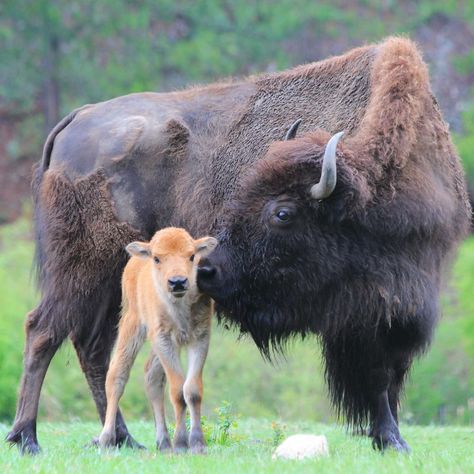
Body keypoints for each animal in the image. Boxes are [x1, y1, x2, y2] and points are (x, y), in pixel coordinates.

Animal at [101, 228, 219, 454]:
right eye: (157, 258)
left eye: (192, 256)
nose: (178, 282)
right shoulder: (163, 340)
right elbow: (177, 391)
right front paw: (181, 444)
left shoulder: (200, 338)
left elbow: (192, 390)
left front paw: (197, 444)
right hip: (132, 326)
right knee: (116, 376)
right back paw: (105, 440)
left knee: (152, 377)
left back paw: (163, 443)